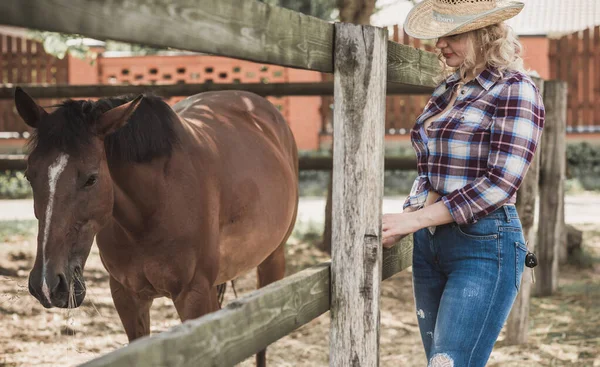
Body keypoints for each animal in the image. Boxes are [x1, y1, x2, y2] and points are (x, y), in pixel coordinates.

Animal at [17, 86, 298, 366]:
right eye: (29, 175)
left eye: (91, 179)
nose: (47, 284)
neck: (153, 208)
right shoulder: (127, 297)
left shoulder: (194, 296)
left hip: (272, 261)